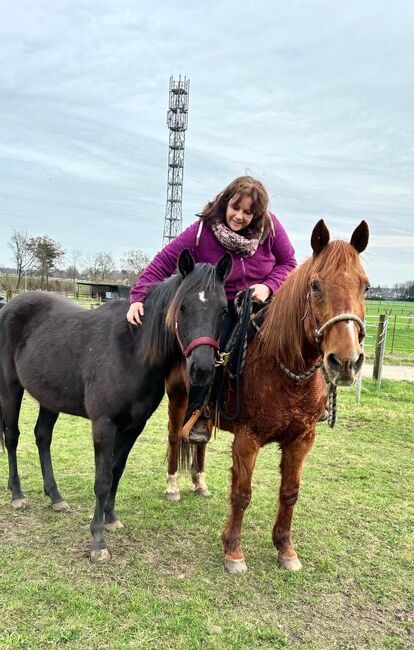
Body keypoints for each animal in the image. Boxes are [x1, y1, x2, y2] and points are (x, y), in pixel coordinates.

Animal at [0, 251, 231, 560]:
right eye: (182, 307)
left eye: (223, 310)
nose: (202, 369)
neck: (131, 351)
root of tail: (9, 306)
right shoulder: (104, 425)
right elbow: (102, 478)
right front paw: (97, 541)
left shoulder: (134, 426)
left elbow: (116, 471)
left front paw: (110, 519)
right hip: (10, 389)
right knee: (12, 437)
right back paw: (18, 495)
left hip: (49, 398)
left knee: (42, 437)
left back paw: (56, 497)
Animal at [165, 220, 368, 568]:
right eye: (315, 286)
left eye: (365, 287)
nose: (345, 361)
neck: (284, 365)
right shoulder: (248, 438)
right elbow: (242, 494)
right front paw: (233, 550)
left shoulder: (302, 439)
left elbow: (290, 493)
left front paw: (285, 548)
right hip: (177, 399)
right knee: (174, 438)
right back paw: (173, 487)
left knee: (198, 441)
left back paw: (200, 483)